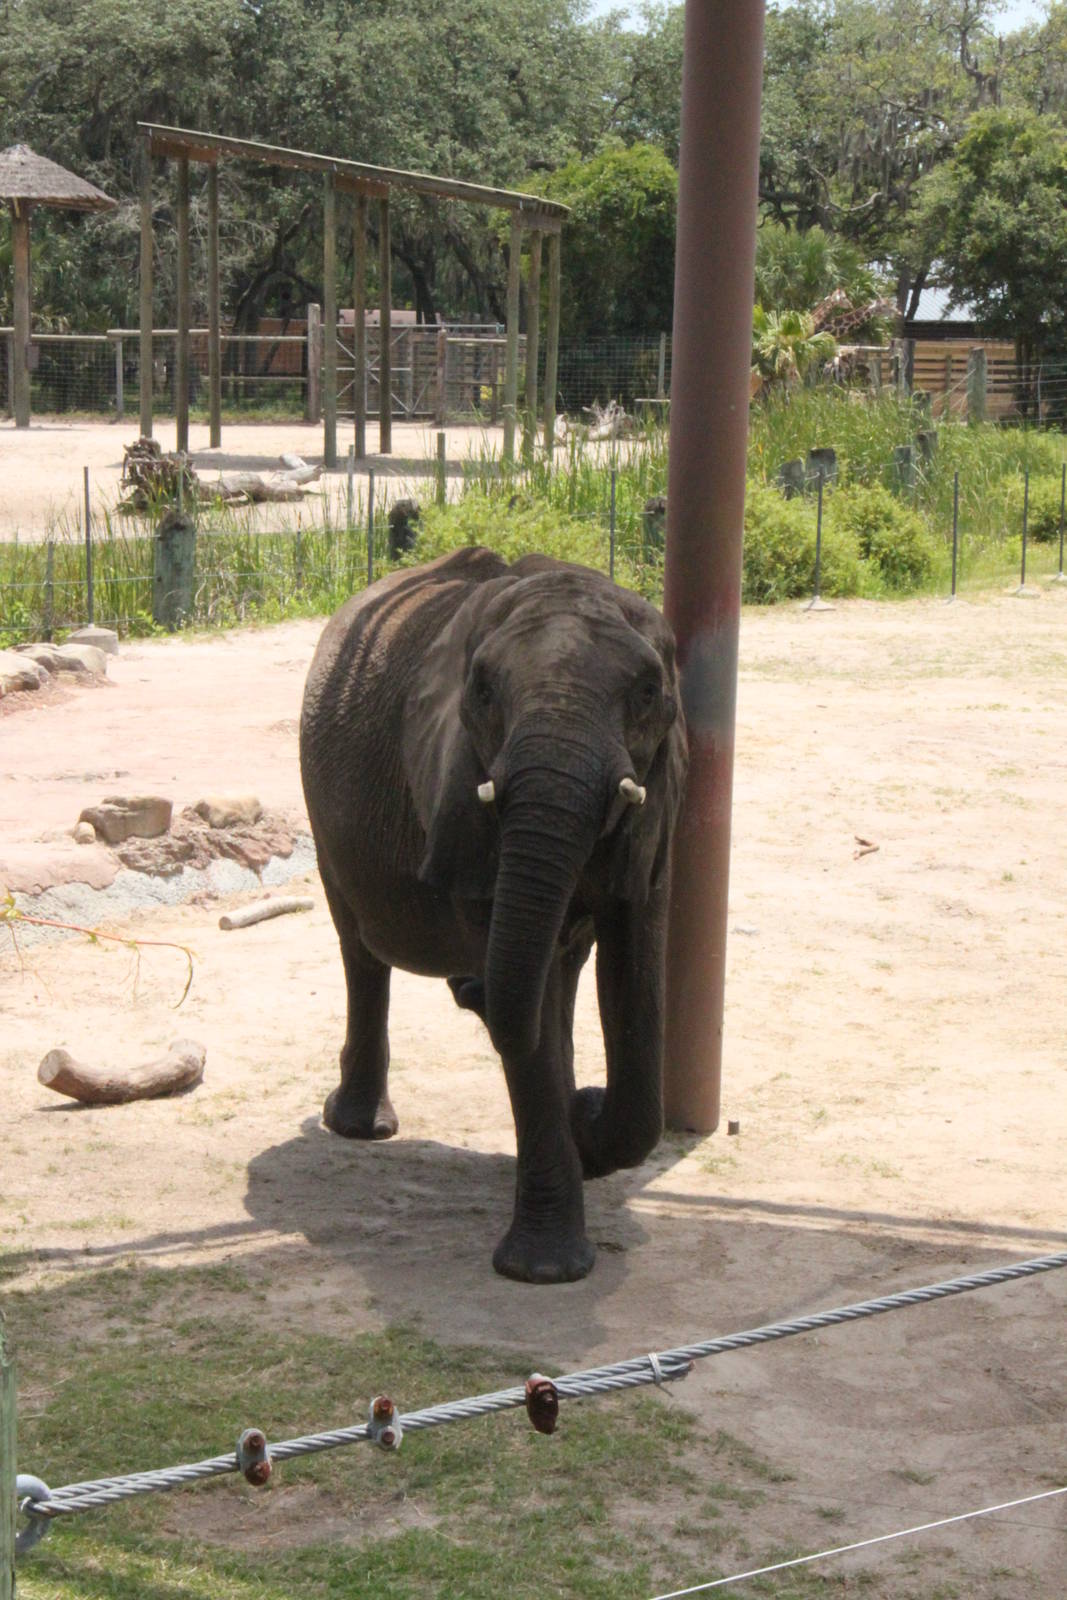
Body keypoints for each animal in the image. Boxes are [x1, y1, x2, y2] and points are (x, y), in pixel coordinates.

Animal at [299, 546, 687, 1283]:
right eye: (481, 691)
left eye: (650, 691)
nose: (466, 987)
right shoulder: (454, 780)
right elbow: (527, 1020)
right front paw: (545, 1272)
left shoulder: (660, 795)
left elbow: (634, 975)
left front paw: (585, 1121)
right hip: (323, 815)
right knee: (359, 949)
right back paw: (358, 1126)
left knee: (557, 970)